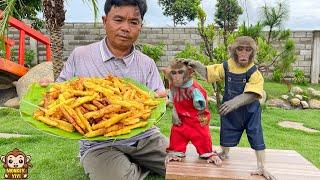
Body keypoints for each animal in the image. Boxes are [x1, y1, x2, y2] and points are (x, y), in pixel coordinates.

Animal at [181, 35, 276, 179]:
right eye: (240, 48)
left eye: (248, 49)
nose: (244, 55)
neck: (240, 67)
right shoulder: (226, 64)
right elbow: (208, 73)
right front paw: (190, 62)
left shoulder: (256, 73)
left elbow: (252, 93)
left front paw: (231, 104)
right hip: (229, 123)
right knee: (227, 135)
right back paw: (224, 153)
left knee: (255, 135)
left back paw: (262, 169)